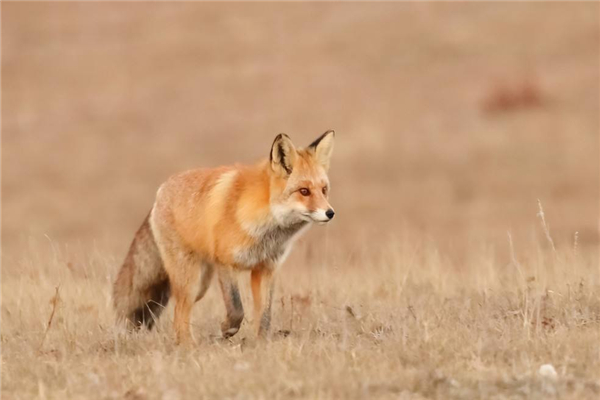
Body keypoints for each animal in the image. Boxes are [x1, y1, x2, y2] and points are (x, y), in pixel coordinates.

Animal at [113, 131, 336, 344]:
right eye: (304, 191)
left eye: (324, 190)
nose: (330, 213)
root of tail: (160, 192)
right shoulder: (226, 264)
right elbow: (237, 309)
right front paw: (226, 330)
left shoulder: (265, 268)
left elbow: (264, 317)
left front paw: (262, 345)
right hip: (190, 280)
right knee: (179, 315)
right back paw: (189, 346)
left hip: (201, 285)